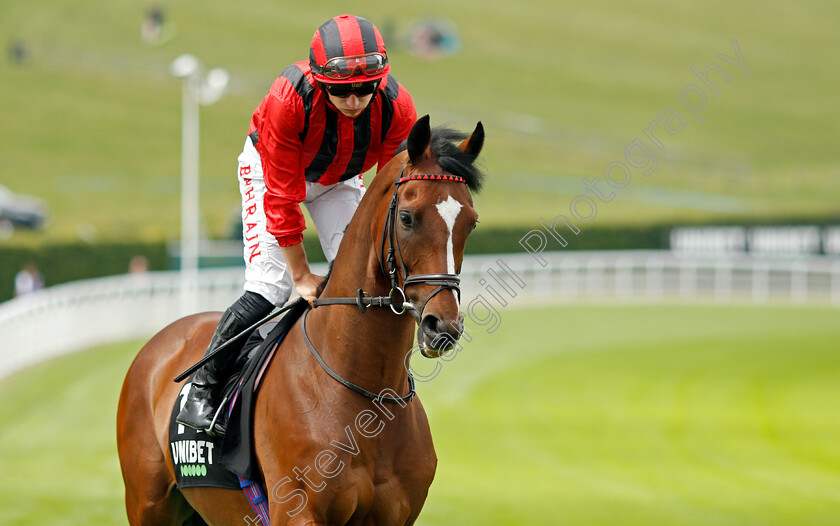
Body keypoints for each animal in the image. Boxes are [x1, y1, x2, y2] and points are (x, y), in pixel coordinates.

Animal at [117, 116, 486, 526]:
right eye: (407, 218)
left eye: (471, 223)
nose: (443, 326)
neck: (366, 395)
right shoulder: (298, 512)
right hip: (147, 503)